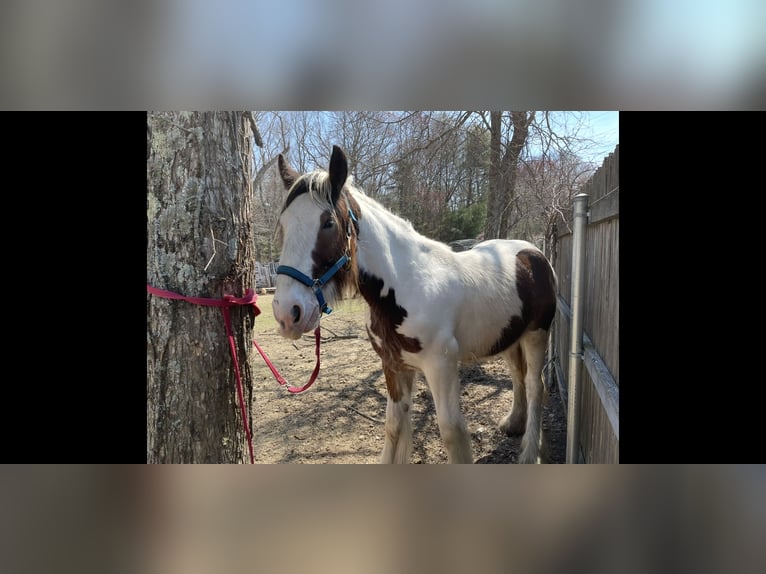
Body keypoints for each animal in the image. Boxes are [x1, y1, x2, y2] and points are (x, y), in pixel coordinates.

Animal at [272, 145, 557, 463]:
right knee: (518, 376)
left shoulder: (441, 366)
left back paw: (531, 453)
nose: (288, 314)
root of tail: (532, 252)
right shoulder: (393, 365)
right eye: (283, 225)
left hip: (536, 335)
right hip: (508, 338)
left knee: (535, 386)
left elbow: (452, 432)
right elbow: (393, 425)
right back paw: (514, 423)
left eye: (328, 223)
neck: (408, 284)